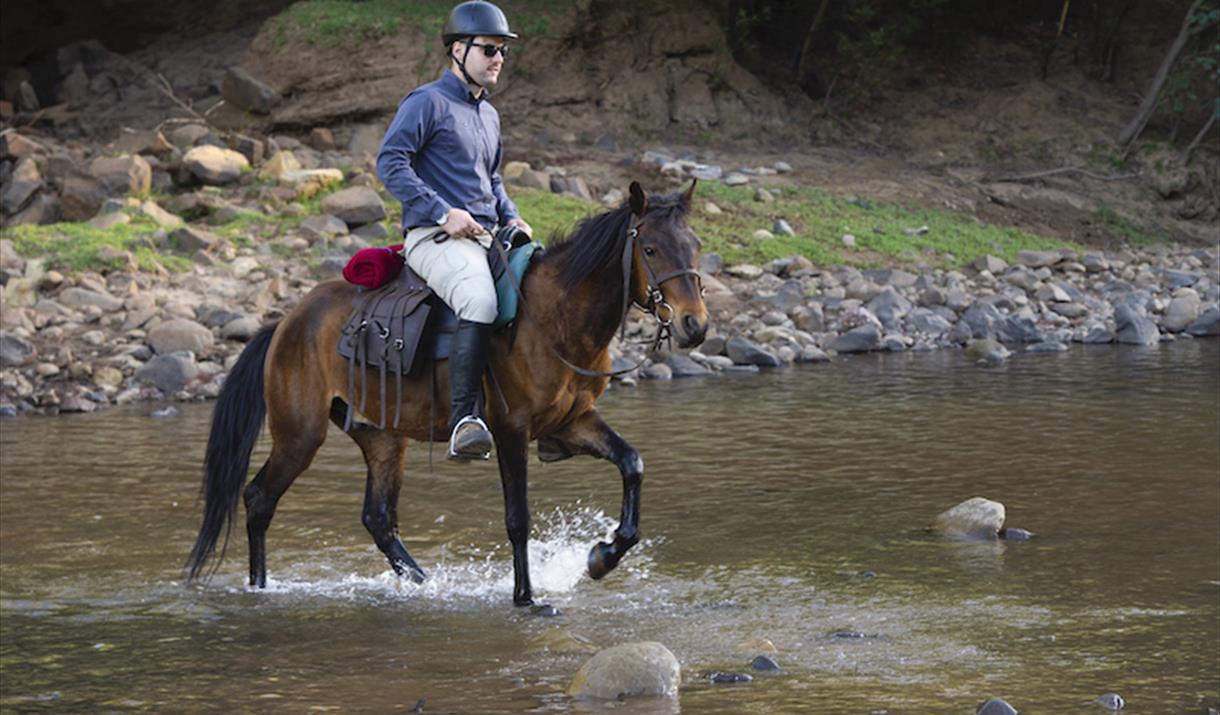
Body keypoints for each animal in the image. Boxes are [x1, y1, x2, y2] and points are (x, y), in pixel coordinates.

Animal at [185, 180, 712, 605]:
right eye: (651, 250)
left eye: (696, 246)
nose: (696, 325)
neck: (554, 318)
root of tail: (286, 322)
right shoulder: (510, 428)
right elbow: (518, 516)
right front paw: (526, 599)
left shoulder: (572, 422)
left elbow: (632, 463)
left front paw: (603, 555)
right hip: (300, 435)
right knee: (259, 499)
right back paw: (260, 588)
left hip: (382, 437)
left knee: (379, 519)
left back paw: (425, 583)